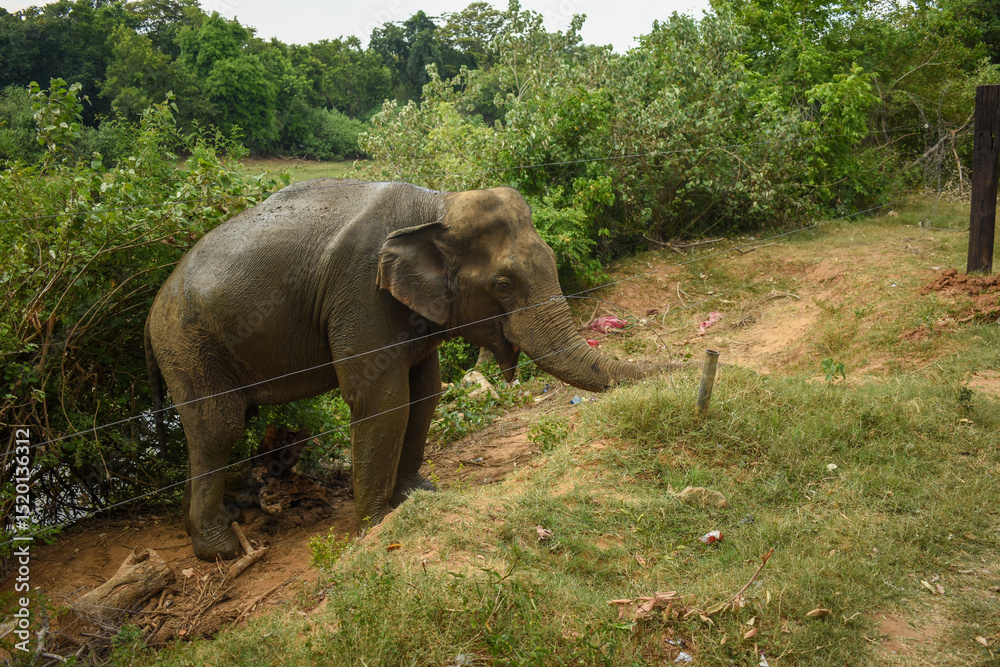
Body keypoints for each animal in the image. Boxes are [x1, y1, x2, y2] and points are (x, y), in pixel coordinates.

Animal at [145, 179, 648, 560]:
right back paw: (221, 549)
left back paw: (223, 520)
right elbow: (382, 400)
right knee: (219, 428)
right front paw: (376, 526)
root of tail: (150, 318)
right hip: (188, 346)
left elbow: (426, 389)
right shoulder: (362, 294)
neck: (437, 204)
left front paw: (419, 494)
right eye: (503, 284)